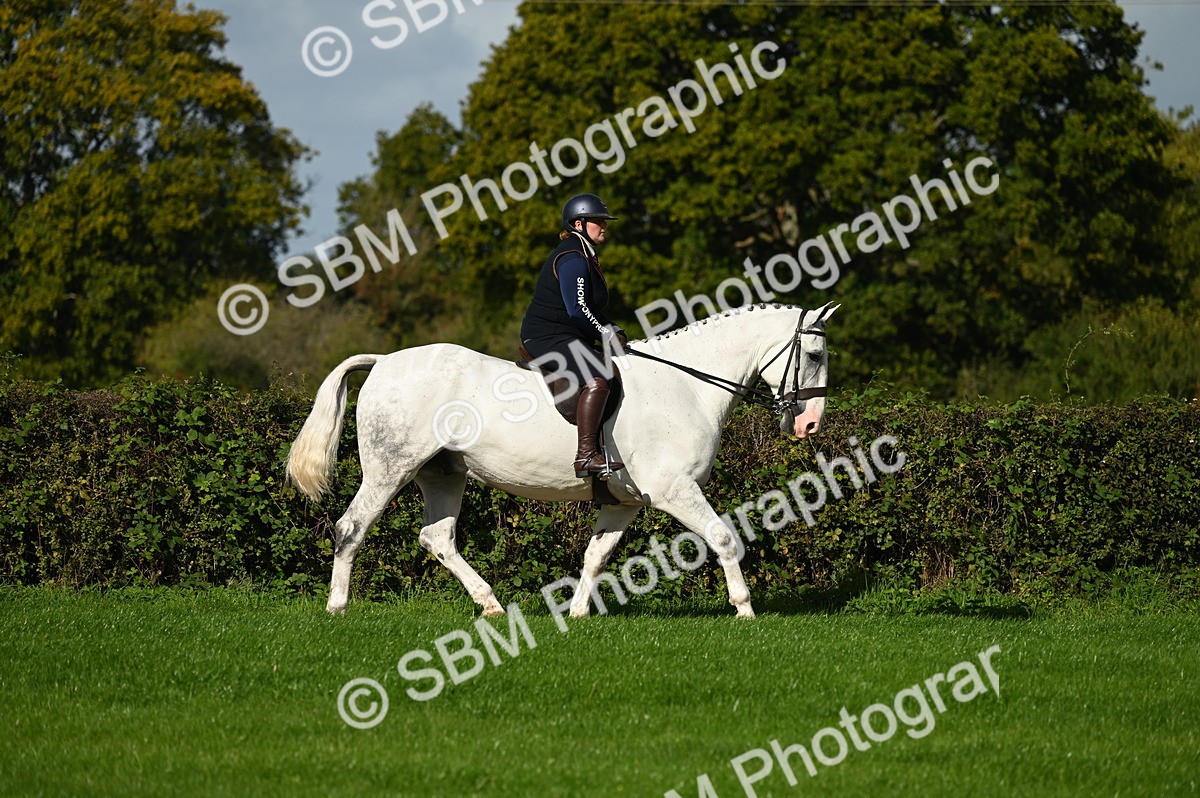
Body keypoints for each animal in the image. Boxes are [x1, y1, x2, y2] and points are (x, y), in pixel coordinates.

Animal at [286, 302, 838, 619]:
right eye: (813, 356)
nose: (810, 425)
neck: (686, 384)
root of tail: (383, 361)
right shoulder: (675, 490)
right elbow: (724, 537)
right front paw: (743, 610)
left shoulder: (624, 502)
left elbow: (596, 555)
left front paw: (575, 614)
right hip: (390, 468)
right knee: (351, 527)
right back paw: (337, 607)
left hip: (443, 475)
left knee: (437, 538)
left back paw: (491, 606)